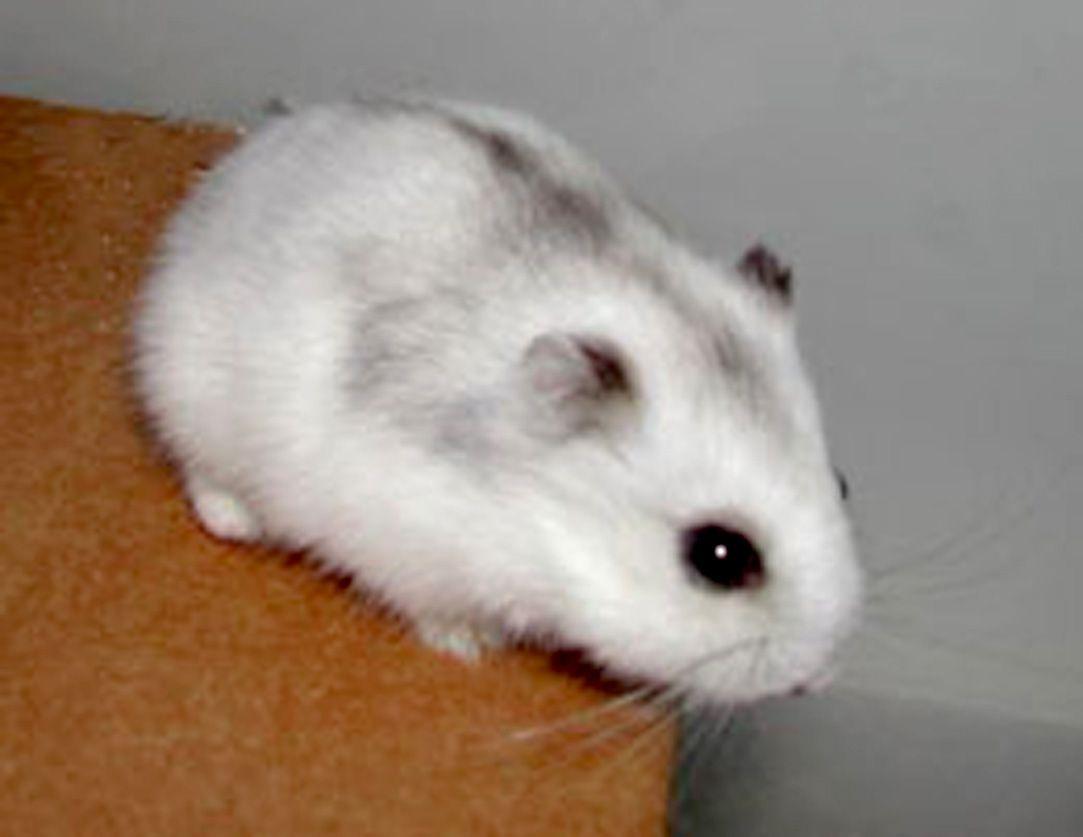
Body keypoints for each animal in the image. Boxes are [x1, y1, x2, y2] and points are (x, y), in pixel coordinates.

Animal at [132, 98, 861, 707]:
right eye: (719, 555)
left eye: (842, 482)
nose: (820, 677)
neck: (541, 518)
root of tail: (237, 163)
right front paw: (471, 648)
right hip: (190, 389)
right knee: (203, 476)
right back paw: (238, 522)